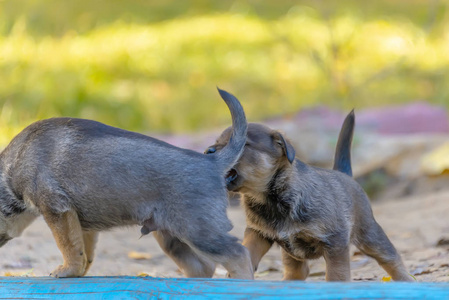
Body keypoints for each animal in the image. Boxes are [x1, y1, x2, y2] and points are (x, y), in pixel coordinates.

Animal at [0, 88, 252, 278]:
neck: (13, 165)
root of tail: (213, 162)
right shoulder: (79, 222)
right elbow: (84, 251)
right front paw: (78, 272)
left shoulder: (56, 210)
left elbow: (69, 247)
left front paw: (66, 271)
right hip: (171, 236)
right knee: (203, 267)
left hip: (199, 231)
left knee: (238, 255)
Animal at [205, 110, 412, 282]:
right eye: (216, 143)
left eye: (241, 144)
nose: (208, 151)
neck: (271, 198)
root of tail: (344, 175)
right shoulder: (258, 233)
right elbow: (248, 250)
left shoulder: (335, 243)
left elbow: (337, 276)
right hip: (292, 254)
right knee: (297, 272)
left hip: (369, 235)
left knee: (392, 260)